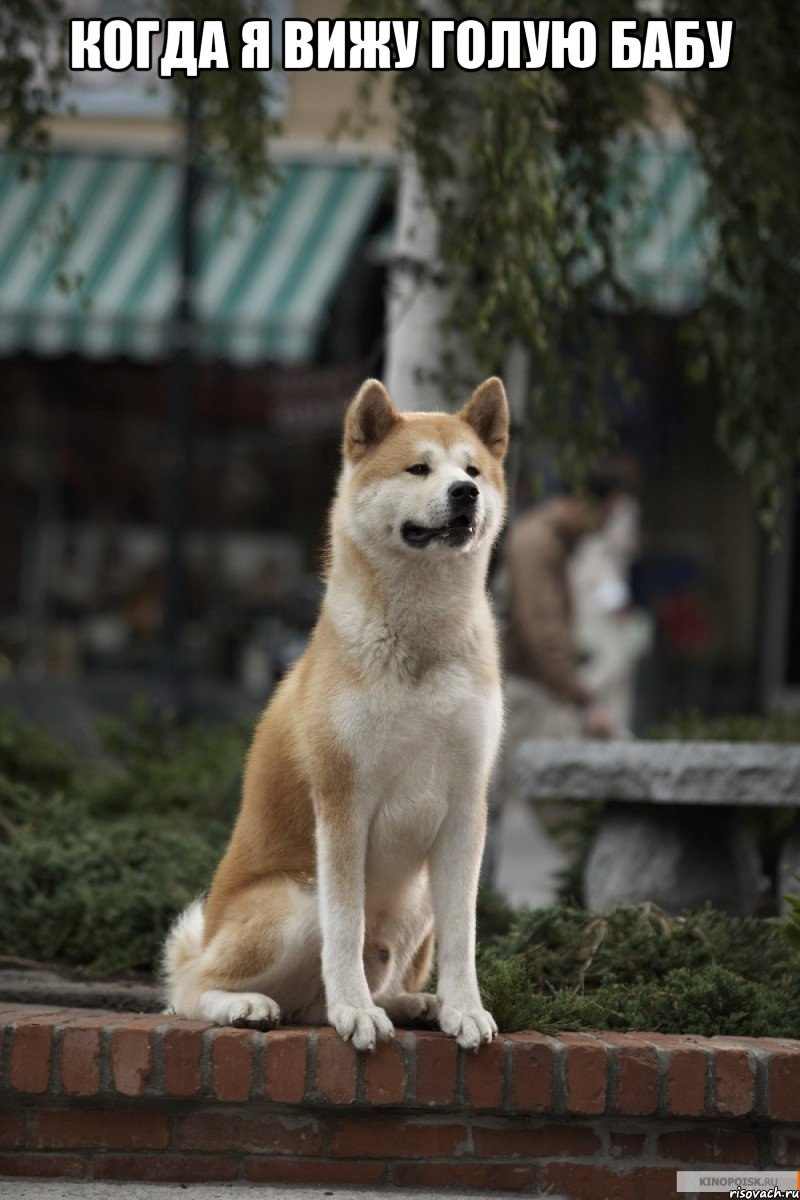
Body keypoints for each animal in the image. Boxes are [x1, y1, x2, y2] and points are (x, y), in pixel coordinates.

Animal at [165, 374, 510, 1051]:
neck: (420, 643)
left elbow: (464, 935)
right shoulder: (343, 801)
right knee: (189, 990)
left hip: (417, 900)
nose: (465, 493)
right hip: (295, 900)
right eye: (418, 468)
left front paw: (464, 1009)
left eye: (473, 470)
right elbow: (346, 928)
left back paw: (415, 1003)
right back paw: (250, 1005)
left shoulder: (466, 806)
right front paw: (355, 1011)